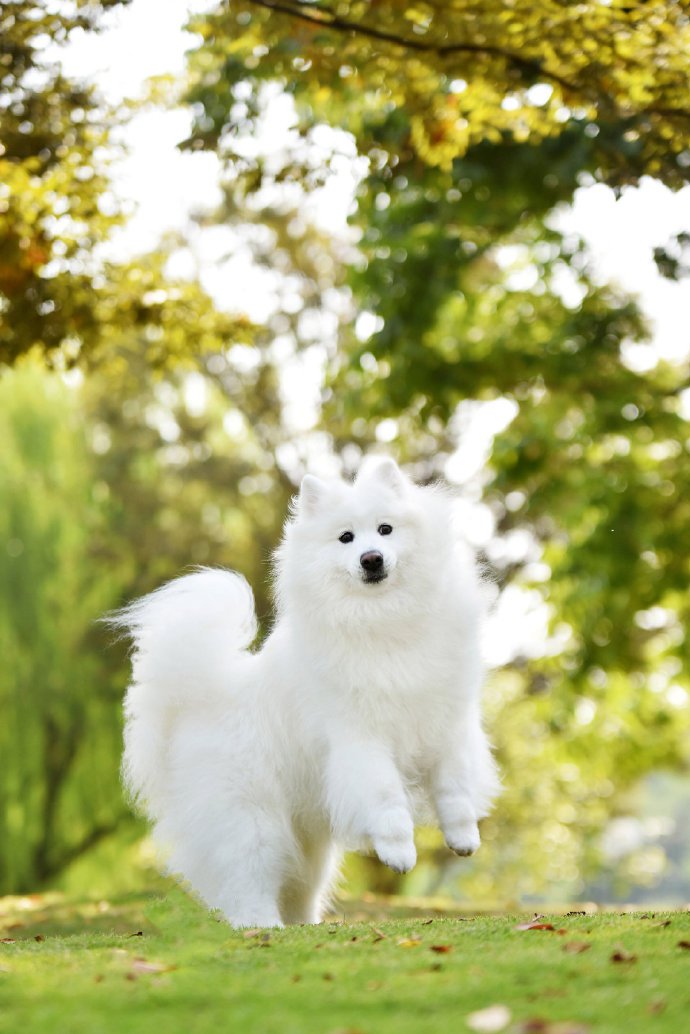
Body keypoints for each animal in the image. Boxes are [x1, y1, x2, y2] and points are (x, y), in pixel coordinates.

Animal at [114, 461, 502, 930]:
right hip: (254, 820)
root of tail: (201, 697)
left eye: (385, 529)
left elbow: (456, 791)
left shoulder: (448, 726)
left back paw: (305, 925)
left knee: (300, 885)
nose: (371, 558)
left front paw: (464, 839)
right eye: (346, 538)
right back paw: (263, 926)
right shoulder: (361, 742)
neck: (385, 621)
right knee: (249, 878)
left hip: (309, 841)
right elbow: (387, 800)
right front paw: (399, 853)